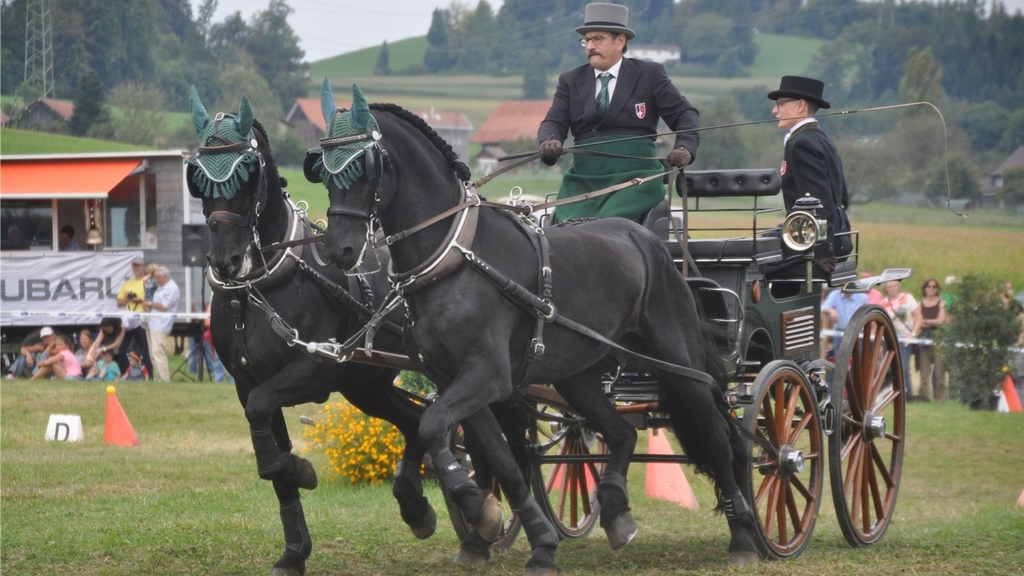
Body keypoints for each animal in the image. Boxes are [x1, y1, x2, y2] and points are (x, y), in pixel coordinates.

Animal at [186, 87, 438, 569]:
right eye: (198, 181)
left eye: (248, 175)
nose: (226, 262)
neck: (259, 287)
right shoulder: (247, 382)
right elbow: (271, 458)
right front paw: (294, 549)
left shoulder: (312, 372)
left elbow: (268, 428)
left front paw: (302, 471)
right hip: (366, 385)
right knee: (418, 420)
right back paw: (420, 508)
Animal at [303, 81, 761, 573]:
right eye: (323, 171)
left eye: (367, 166)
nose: (338, 251)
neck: (454, 259)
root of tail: (649, 240)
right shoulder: (453, 378)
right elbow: (497, 456)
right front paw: (523, 534)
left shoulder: (487, 375)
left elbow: (433, 425)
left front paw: (475, 505)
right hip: (578, 374)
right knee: (622, 432)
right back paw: (616, 510)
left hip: (677, 360)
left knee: (717, 439)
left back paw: (744, 535)